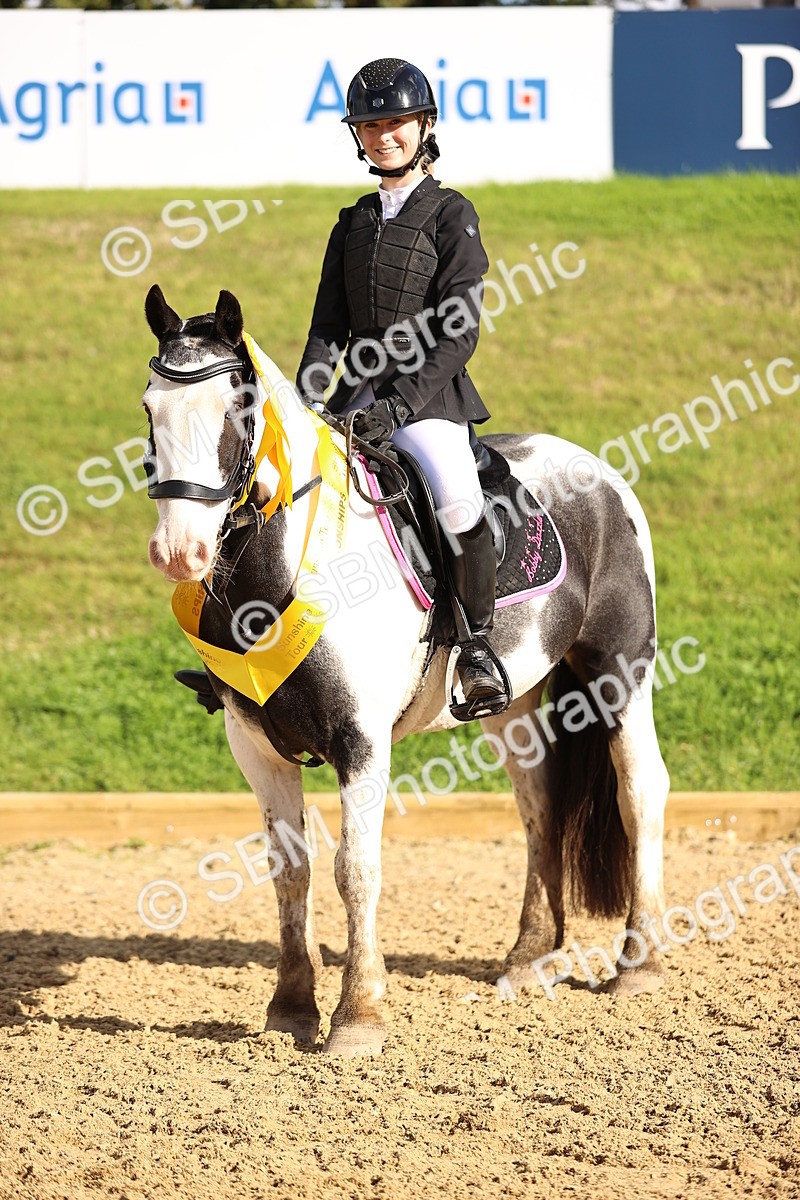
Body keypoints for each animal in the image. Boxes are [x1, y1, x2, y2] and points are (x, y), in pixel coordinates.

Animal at [141, 283, 670, 1057]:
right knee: (539, 807)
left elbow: (355, 871)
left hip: (618, 671)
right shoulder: (256, 746)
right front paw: (290, 1008)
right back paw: (529, 958)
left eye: (237, 409)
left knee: (640, 793)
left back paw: (640, 962)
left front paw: (359, 1016)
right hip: (513, 707)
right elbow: (290, 873)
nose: (179, 551)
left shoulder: (362, 742)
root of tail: (597, 472)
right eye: (149, 408)